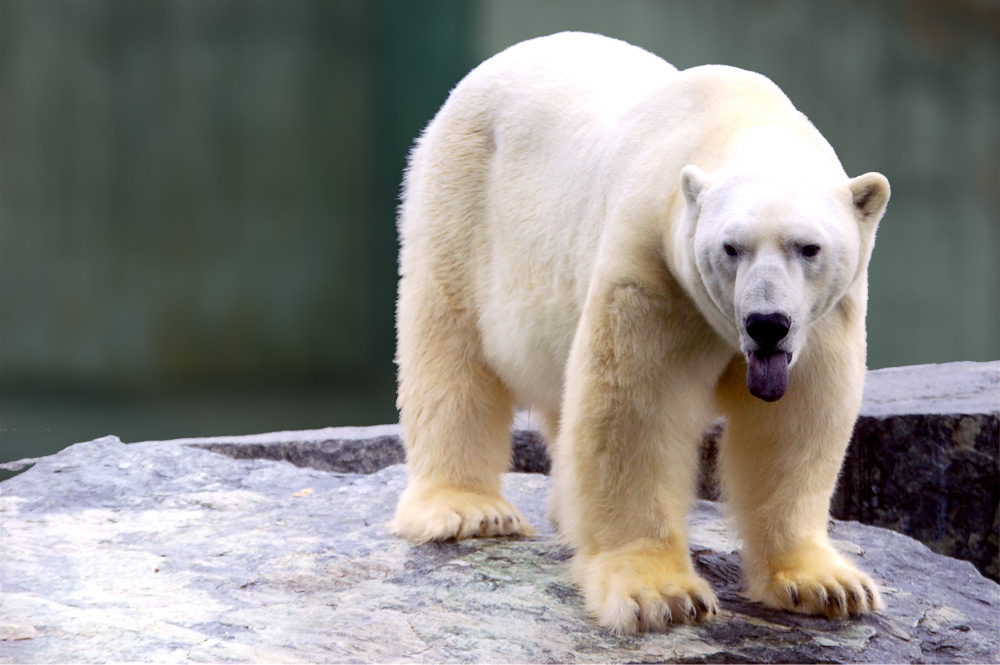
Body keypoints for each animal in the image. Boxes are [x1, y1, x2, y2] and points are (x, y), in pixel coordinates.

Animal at [390, 32, 892, 632]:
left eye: (808, 247)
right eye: (731, 247)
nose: (766, 324)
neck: (734, 117)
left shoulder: (825, 317)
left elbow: (797, 420)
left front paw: (827, 585)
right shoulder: (652, 263)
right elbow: (635, 411)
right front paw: (662, 595)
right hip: (461, 203)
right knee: (449, 350)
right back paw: (470, 510)